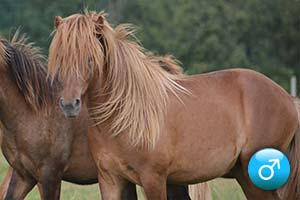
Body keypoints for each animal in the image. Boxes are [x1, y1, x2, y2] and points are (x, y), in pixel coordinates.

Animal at [48, 11, 300, 200]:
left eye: (90, 59)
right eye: (59, 58)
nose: (69, 104)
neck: (122, 117)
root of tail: (287, 98)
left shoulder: (154, 179)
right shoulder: (111, 180)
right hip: (244, 175)